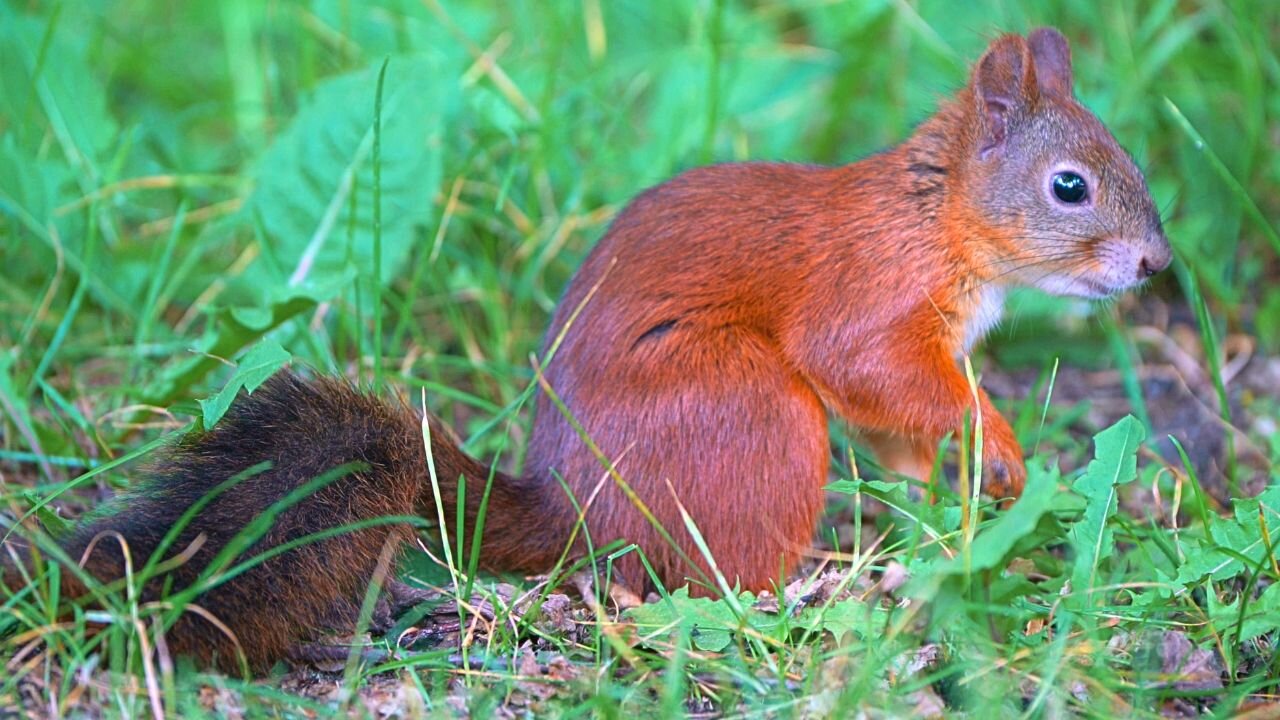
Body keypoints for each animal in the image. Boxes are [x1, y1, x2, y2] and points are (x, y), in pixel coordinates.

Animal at [2, 26, 1172, 666]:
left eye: (1126, 155)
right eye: (1069, 185)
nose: (1157, 265)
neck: (939, 217)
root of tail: (575, 514)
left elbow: (897, 432)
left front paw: (944, 504)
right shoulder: (867, 303)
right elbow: (871, 374)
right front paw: (1000, 447)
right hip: (755, 411)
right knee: (710, 578)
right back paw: (804, 589)